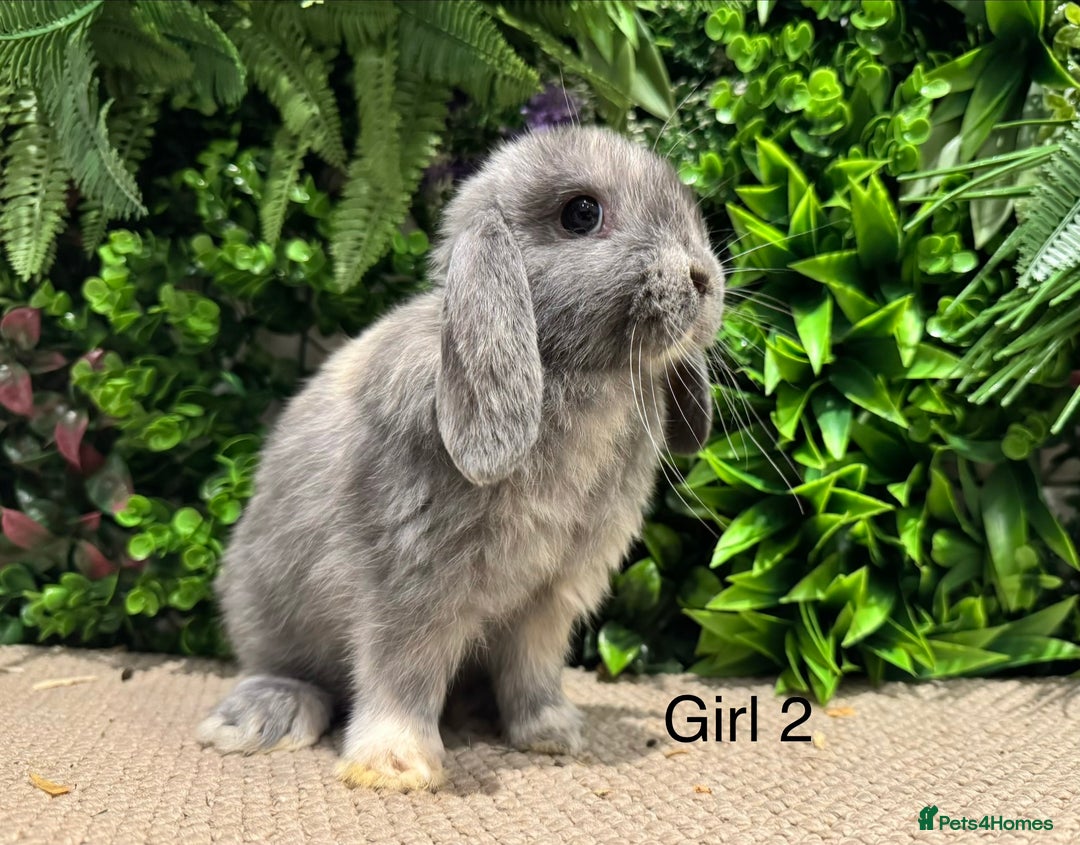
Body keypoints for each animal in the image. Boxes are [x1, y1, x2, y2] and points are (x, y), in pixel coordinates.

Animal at [195, 125, 725, 791]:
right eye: (581, 213)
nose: (704, 277)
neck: (570, 371)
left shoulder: (550, 598)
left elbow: (533, 668)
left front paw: (554, 734)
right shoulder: (412, 581)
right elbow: (403, 668)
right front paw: (395, 767)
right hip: (269, 610)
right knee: (287, 668)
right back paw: (262, 717)